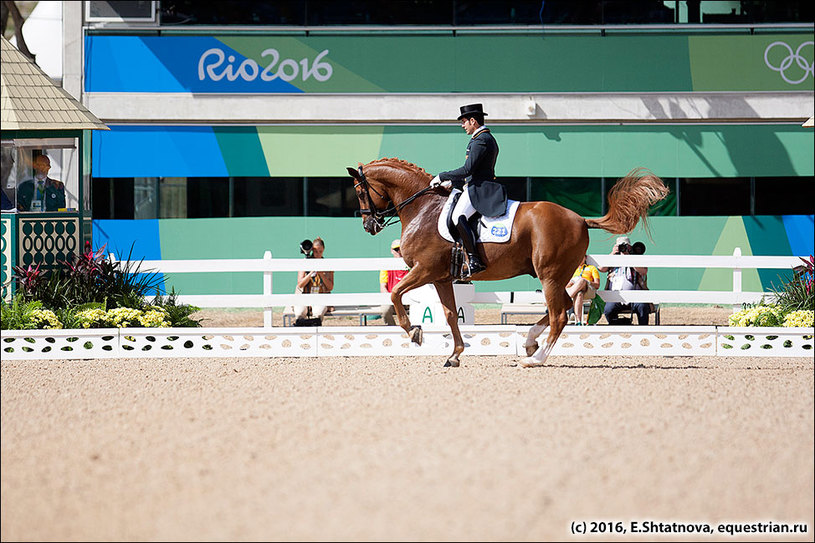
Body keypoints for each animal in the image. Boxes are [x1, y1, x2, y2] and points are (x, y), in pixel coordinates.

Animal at [348, 159, 668, 368]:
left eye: (361, 192)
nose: (368, 225)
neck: (423, 209)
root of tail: (579, 218)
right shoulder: (440, 277)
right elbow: (450, 314)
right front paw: (455, 354)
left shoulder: (424, 270)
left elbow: (395, 293)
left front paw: (414, 333)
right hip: (556, 276)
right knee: (563, 306)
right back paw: (529, 343)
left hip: (549, 275)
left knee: (559, 315)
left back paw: (535, 359)